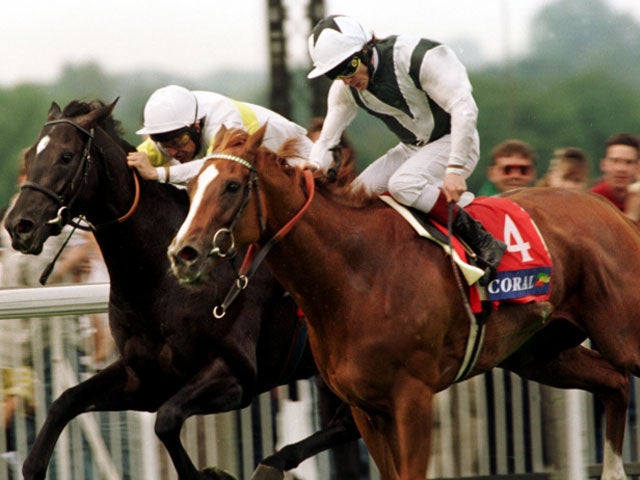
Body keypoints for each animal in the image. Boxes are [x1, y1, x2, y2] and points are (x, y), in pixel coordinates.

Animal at [2, 100, 360, 480]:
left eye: (66, 156)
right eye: (30, 156)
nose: (18, 226)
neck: (159, 280)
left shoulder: (235, 375)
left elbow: (167, 421)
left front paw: (212, 473)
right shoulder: (143, 379)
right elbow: (63, 403)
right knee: (347, 425)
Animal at [169, 125, 640, 480]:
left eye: (232, 186)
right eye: (190, 187)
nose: (182, 254)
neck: (357, 277)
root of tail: (614, 211)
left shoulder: (412, 398)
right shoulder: (367, 410)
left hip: (621, 336)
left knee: (620, 375)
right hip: (541, 353)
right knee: (615, 383)